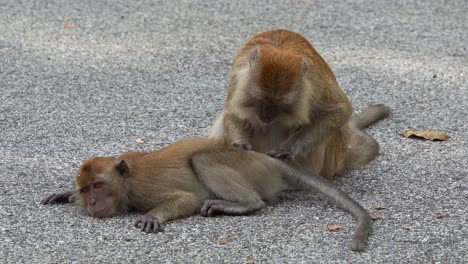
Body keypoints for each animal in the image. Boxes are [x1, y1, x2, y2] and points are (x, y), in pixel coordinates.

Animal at [44, 139, 372, 251]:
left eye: (98, 186)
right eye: (86, 189)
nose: (92, 203)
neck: (125, 181)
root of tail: (267, 159)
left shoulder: (143, 189)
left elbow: (185, 200)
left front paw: (152, 217)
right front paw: (66, 194)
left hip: (244, 165)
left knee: (202, 159)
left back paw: (243, 205)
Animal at [209, 29, 392, 179]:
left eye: (280, 105)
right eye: (260, 100)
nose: (266, 116)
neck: (280, 48)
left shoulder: (314, 81)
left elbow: (339, 110)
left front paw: (288, 149)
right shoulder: (239, 76)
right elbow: (232, 110)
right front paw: (240, 142)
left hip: (330, 161)